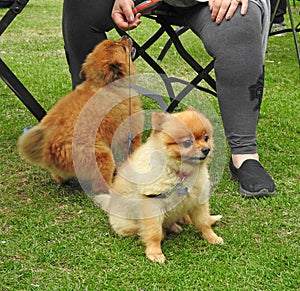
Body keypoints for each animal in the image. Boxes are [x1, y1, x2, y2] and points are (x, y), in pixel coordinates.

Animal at [17, 37, 144, 193]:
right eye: (122, 47)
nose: (126, 37)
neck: (103, 83)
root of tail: (50, 149)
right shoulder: (131, 135)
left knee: (58, 177)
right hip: (103, 156)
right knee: (102, 186)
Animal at [94, 109, 223, 264]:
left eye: (206, 138)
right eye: (187, 142)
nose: (206, 149)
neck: (179, 173)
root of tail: (110, 204)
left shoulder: (199, 200)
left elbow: (204, 222)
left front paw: (212, 237)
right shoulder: (152, 205)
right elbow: (154, 233)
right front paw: (154, 252)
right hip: (126, 224)